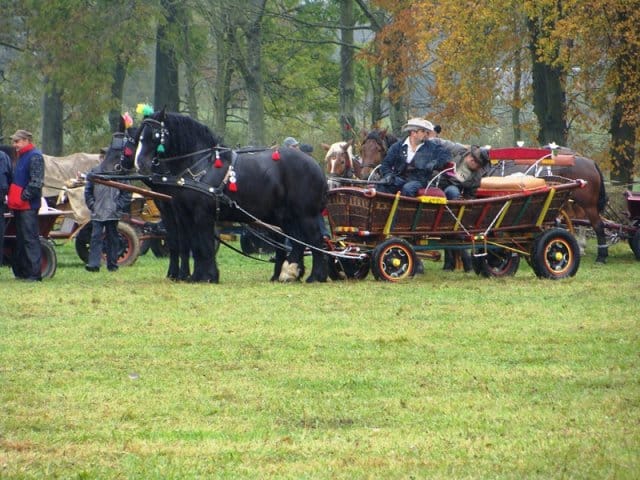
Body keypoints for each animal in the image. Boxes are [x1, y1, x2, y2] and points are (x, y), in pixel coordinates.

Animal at [127, 109, 328, 284]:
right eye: (139, 137)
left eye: (155, 135)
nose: (140, 164)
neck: (201, 165)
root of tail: (315, 165)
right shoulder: (184, 213)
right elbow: (193, 243)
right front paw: (197, 275)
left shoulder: (201, 214)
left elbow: (203, 244)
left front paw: (207, 276)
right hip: (286, 216)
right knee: (297, 243)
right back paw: (289, 274)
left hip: (305, 215)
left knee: (315, 240)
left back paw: (315, 276)